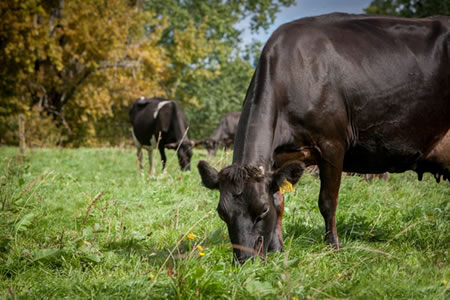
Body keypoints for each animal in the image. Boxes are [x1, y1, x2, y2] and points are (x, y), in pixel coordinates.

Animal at [198, 12, 450, 264]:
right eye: (222, 213)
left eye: (262, 210)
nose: (244, 261)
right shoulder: (278, 158)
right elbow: (280, 201)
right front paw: (278, 248)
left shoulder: (332, 145)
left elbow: (327, 201)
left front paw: (333, 246)